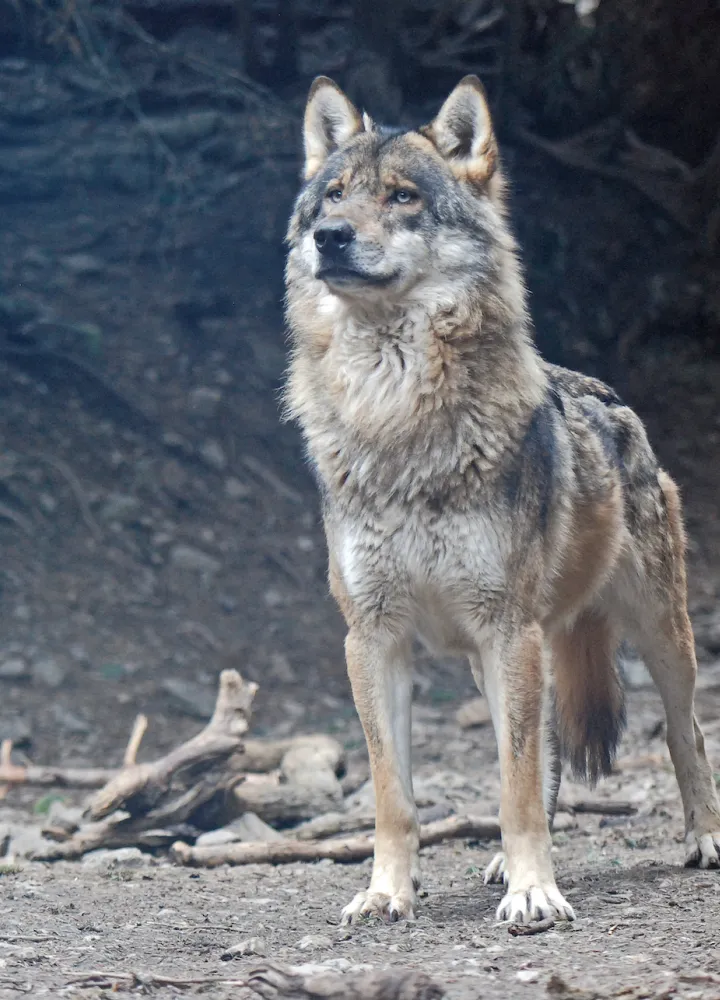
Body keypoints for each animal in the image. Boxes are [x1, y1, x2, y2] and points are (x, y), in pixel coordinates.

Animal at [284, 75, 720, 925]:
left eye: (403, 196)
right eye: (336, 194)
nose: (329, 237)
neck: (396, 419)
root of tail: (610, 394)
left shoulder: (504, 628)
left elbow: (513, 783)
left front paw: (535, 895)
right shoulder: (374, 638)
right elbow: (394, 795)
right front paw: (386, 893)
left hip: (657, 638)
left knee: (685, 731)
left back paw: (705, 838)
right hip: (517, 657)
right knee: (544, 755)